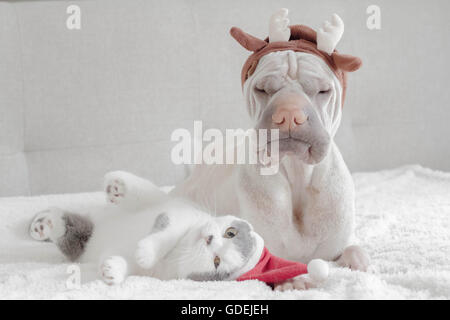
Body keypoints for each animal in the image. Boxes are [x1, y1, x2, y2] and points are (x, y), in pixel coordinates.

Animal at [28, 170, 264, 284]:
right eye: (230, 232)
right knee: (143, 191)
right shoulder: (180, 214)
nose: (209, 239)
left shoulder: (150, 273)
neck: (180, 249)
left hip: (81, 244)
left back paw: (48, 224)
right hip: (150, 200)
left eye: (217, 261)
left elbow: (127, 264)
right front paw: (147, 251)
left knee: (71, 234)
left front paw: (112, 269)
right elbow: (168, 230)